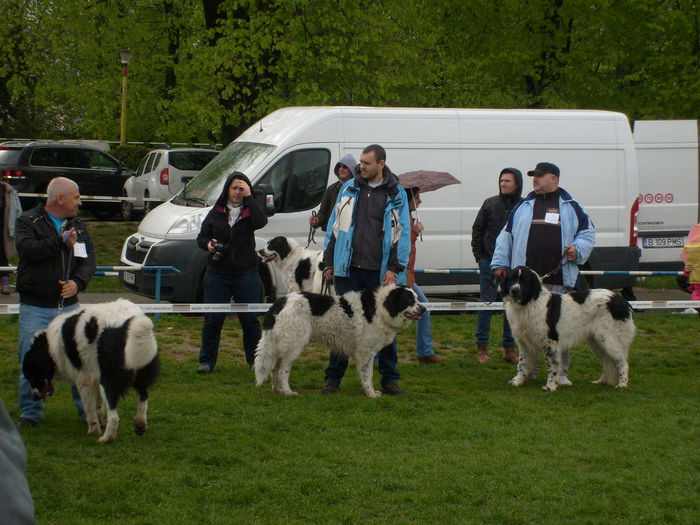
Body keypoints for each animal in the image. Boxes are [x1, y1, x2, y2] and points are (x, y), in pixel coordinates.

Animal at [21, 298, 161, 442]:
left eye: (32, 375)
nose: (34, 396)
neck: (49, 345)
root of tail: (128, 321)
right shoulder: (94, 376)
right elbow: (98, 406)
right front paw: (100, 422)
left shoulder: (84, 381)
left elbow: (90, 409)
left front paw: (93, 430)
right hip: (140, 370)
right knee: (143, 397)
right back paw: (140, 425)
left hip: (108, 381)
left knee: (114, 416)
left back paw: (106, 439)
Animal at [254, 284, 424, 396]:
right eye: (409, 300)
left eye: (416, 298)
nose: (424, 309)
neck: (382, 308)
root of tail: (280, 302)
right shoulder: (365, 352)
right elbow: (367, 375)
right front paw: (371, 394)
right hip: (294, 345)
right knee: (282, 370)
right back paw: (288, 391)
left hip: (281, 346)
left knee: (275, 368)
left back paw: (277, 390)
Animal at [504, 266, 636, 388]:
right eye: (512, 279)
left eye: (524, 281)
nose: (514, 290)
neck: (529, 304)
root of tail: (621, 300)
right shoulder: (524, 343)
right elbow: (522, 364)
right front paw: (517, 381)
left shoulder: (550, 343)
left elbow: (552, 366)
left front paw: (550, 386)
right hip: (596, 341)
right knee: (608, 361)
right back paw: (601, 381)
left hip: (608, 339)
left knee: (622, 363)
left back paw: (622, 384)